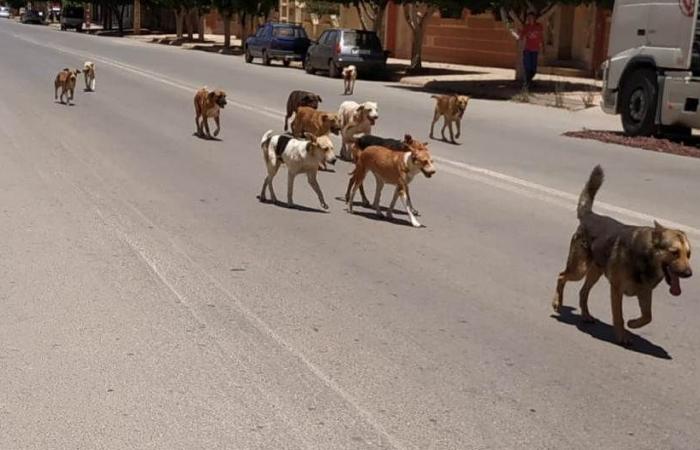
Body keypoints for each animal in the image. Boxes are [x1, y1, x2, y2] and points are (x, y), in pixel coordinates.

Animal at [552, 167, 696, 346]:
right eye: (674, 252)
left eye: (688, 255)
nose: (689, 274)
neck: (646, 257)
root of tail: (590, 215)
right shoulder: (617, 290)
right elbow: (618, 316)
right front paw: (622, 336)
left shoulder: (645, 292)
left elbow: (647, 317)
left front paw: (633, 324)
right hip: (579, 269)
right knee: (561, 276)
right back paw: (557, 302)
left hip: (595, 272)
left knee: (583, 292)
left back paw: (586, 315)